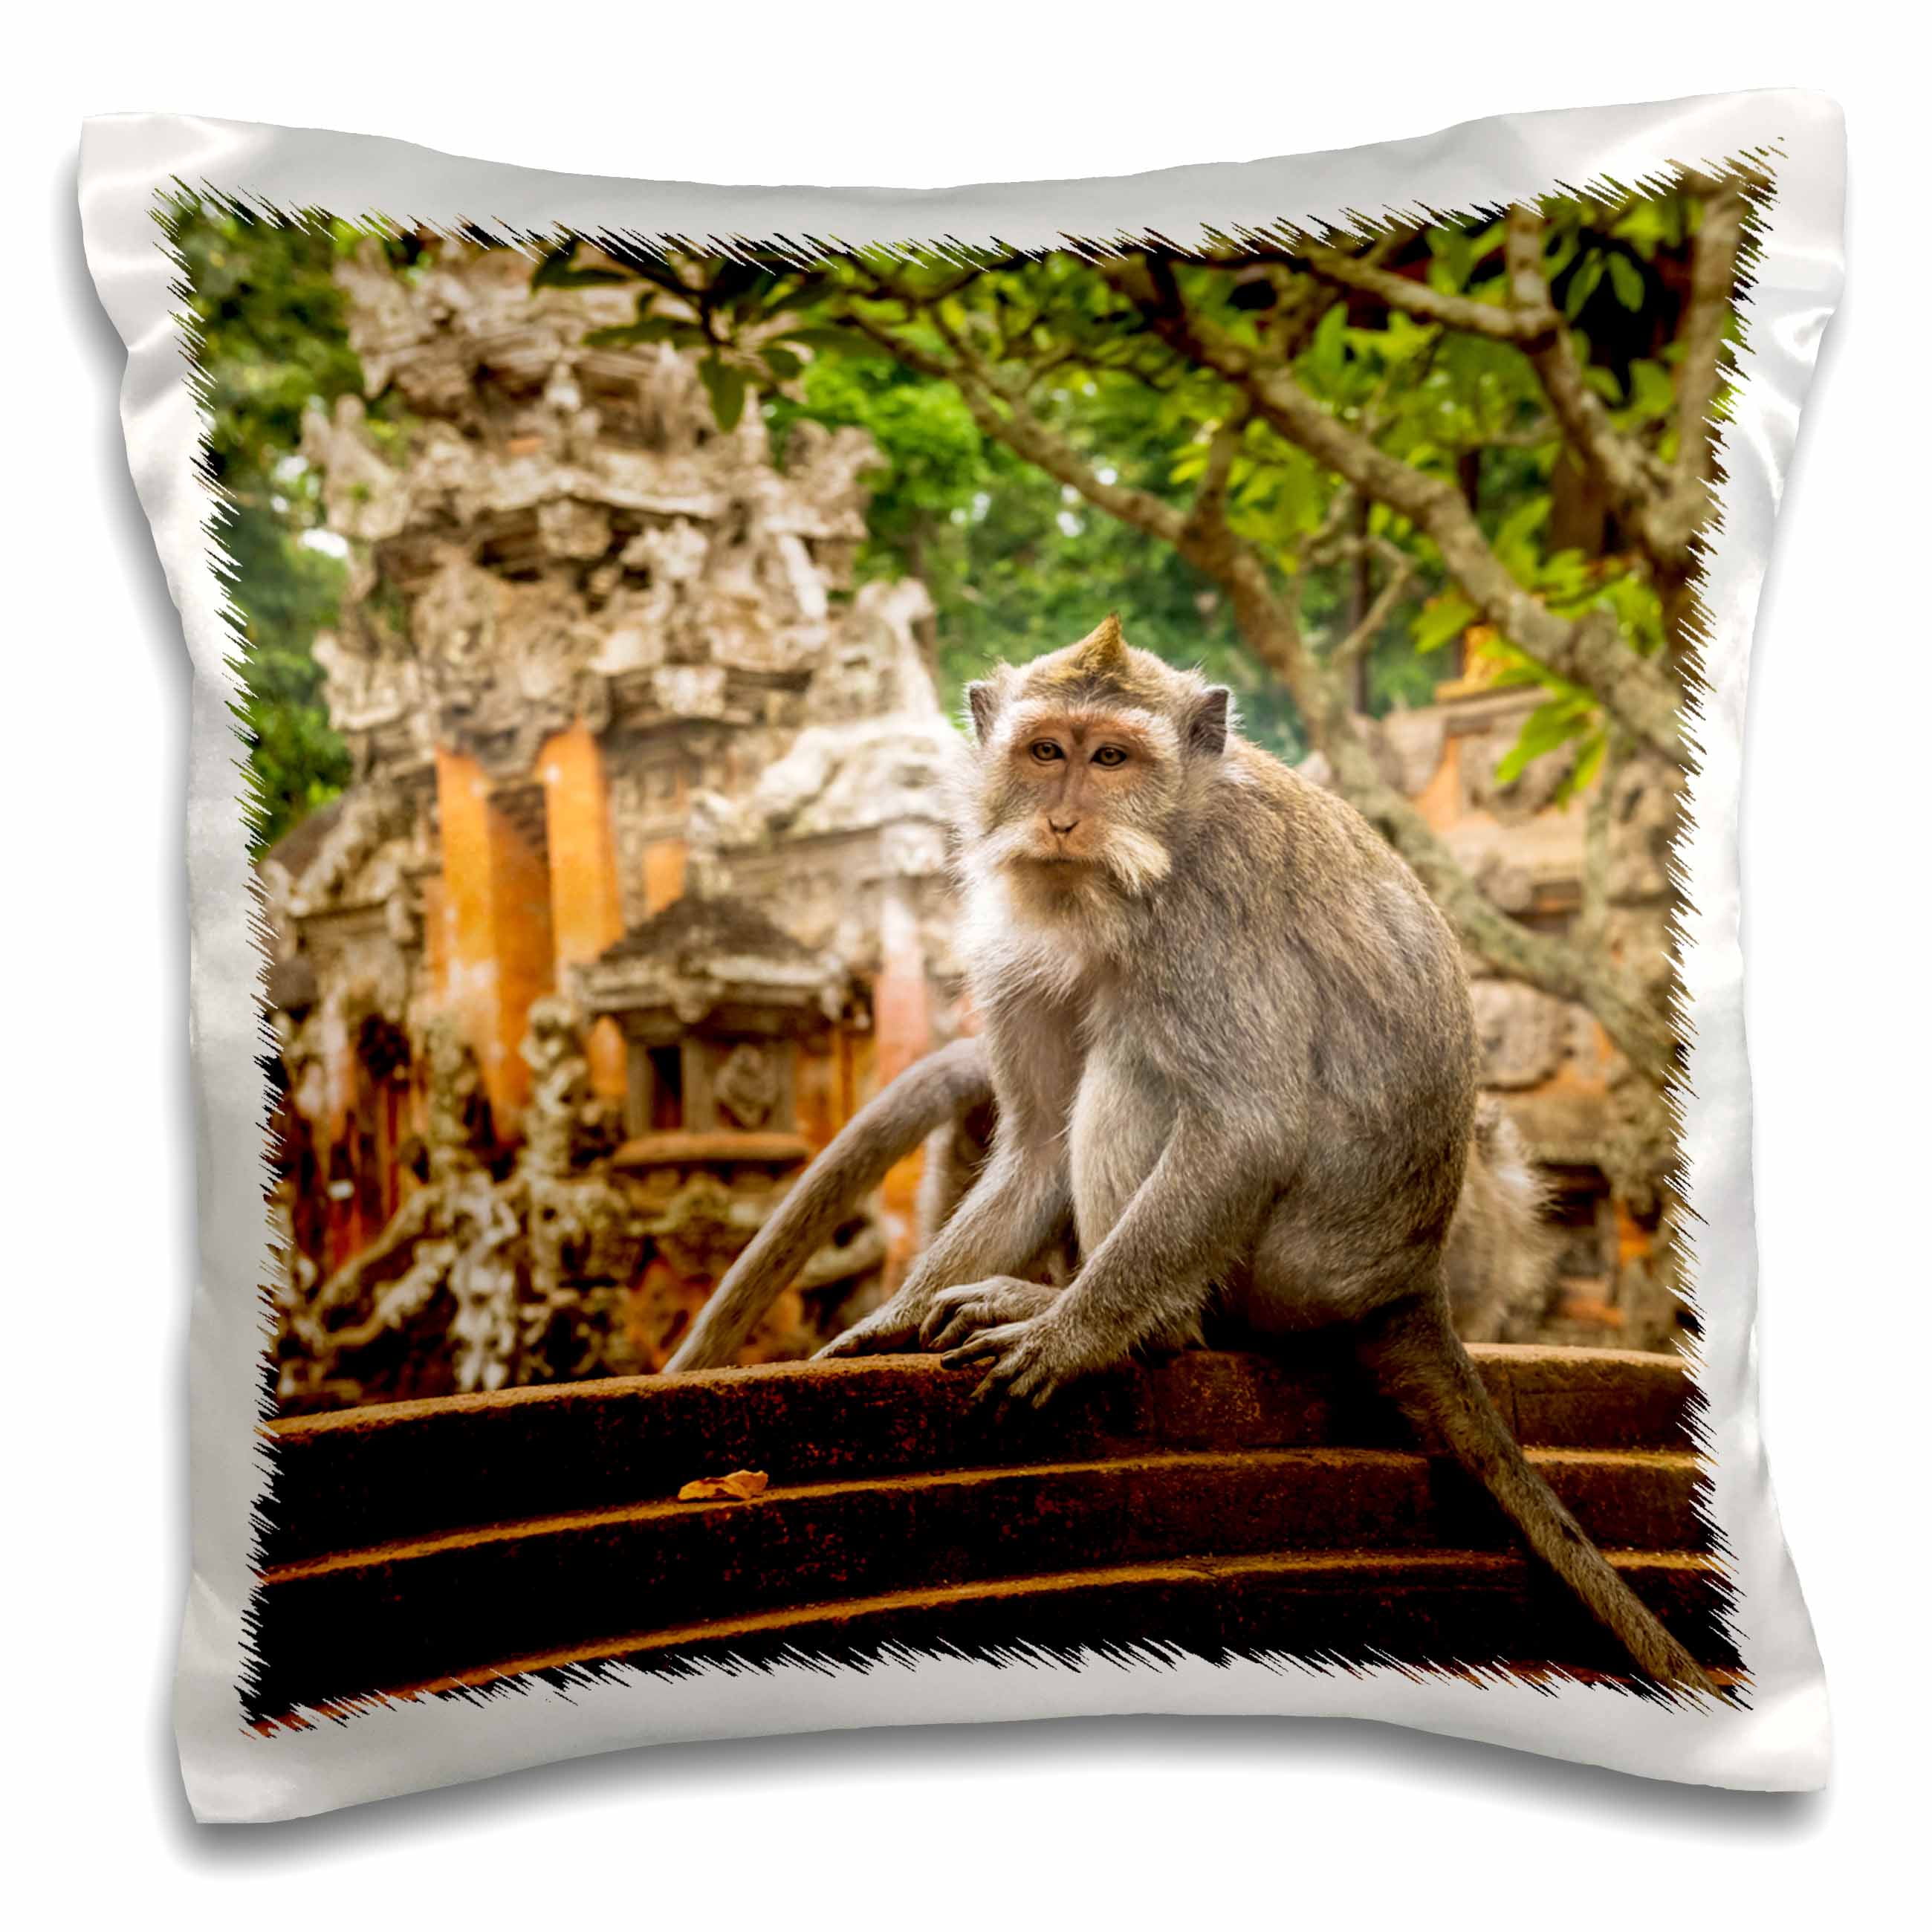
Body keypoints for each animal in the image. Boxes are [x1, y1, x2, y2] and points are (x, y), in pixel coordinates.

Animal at [680, 612, 1710, 1689]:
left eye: (1113, 758)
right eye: (1046, 752)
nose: (1063, 824)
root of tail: (1408, 1281)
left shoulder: (1204, 919)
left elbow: (1245, 1123)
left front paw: (1071, 1334)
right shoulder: (1017, 944)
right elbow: (1036, 1143)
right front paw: (889, 1319)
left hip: (1283, 1273)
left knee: (1137, 1068)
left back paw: (1137, 1324)